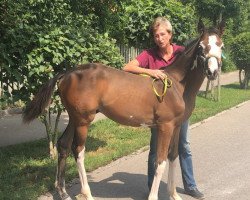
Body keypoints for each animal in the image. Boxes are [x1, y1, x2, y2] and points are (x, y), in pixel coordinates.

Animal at [22, 19, 224, 200]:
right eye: (201, 47)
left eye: (220, 46)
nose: (212, 72)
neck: (176, 84)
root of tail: (68, 73)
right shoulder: (165, 127)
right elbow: (160, 161)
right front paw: (153, 196)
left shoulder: (176, 126)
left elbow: (173, 156)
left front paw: (174, 195)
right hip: (83, 121)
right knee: (78, 150)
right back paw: (87, 193)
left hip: (74, 118)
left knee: (63, 145)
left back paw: (63, 192)